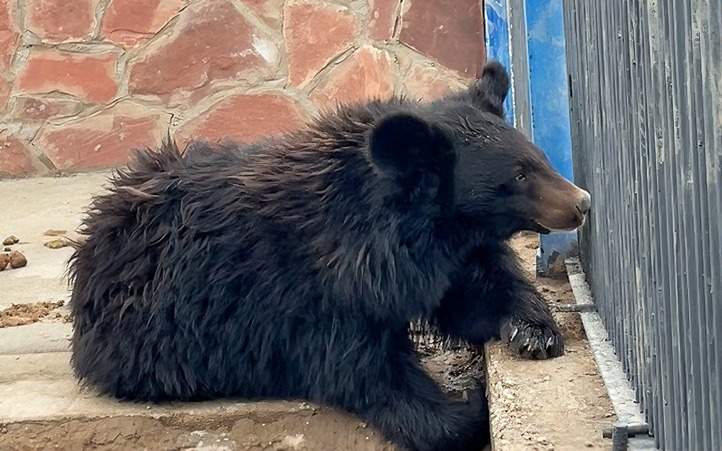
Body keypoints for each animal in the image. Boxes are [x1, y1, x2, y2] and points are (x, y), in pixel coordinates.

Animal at [67, 62, 588, 451]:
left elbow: (475, 292)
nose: (582, 203)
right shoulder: (311, 293)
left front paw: (533, 333)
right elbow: (361, 372)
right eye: (518, 177)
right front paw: (469, 406)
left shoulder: (446, 255)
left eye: (540, 160)